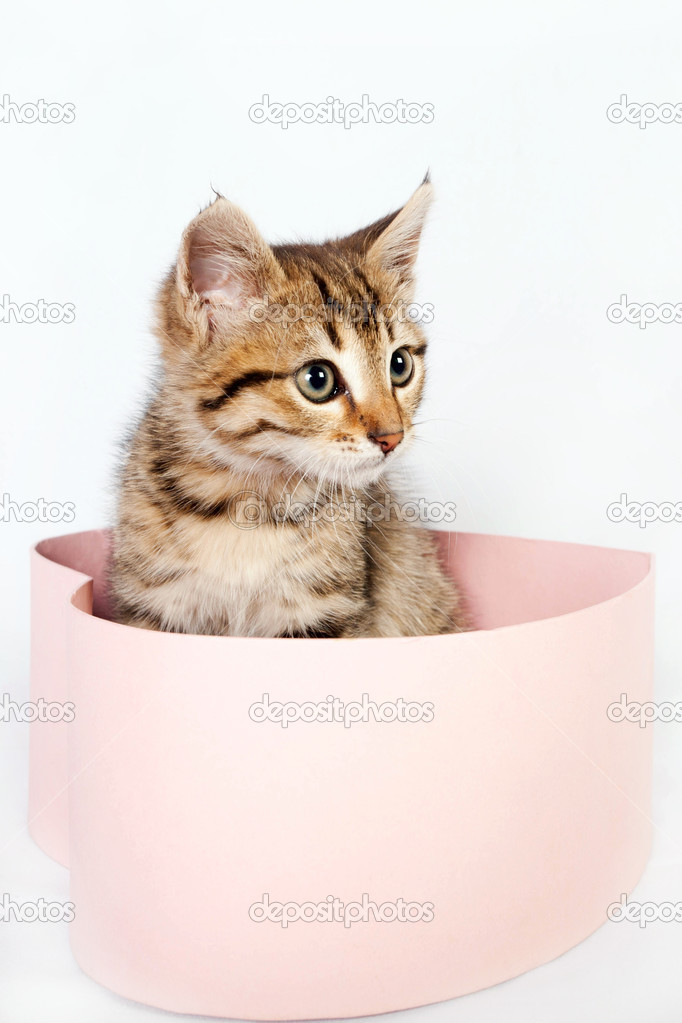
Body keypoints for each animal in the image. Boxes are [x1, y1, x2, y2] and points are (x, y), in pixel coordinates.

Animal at [109, 180, 466, 634]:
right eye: (318, 379)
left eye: (399, 365)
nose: (392, 437)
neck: (245, 503)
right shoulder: (150, 605)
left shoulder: (326, 615)